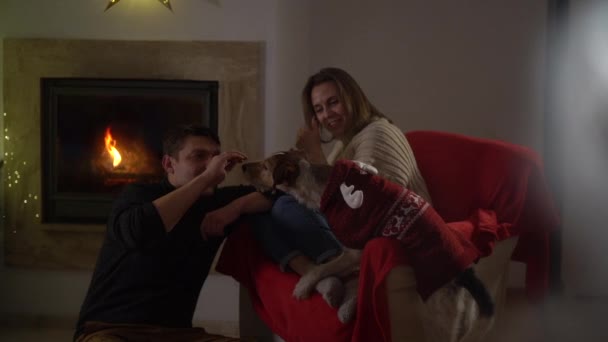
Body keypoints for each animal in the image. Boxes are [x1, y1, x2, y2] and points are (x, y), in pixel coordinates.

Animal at [240, 150, 492, 326]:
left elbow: (320, 269)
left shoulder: (354, 251)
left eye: (265, 166)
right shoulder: (351, 254)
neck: (323, 187)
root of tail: (465, 273)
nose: (242, 165)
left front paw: (303, 288)